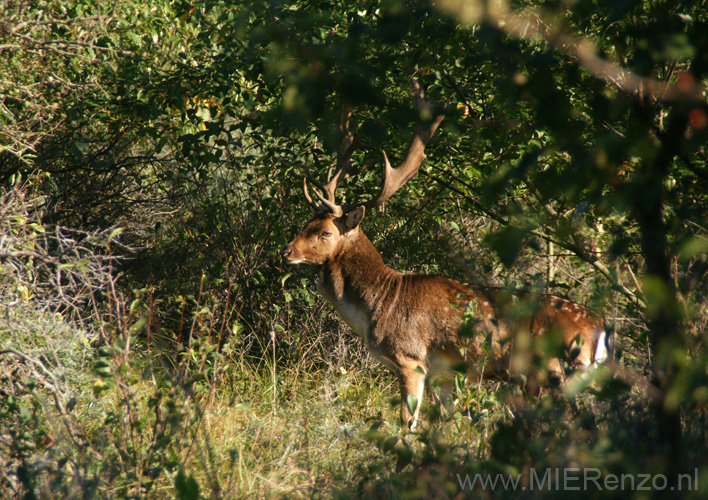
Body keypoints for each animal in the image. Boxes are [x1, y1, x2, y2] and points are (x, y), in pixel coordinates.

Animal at [282, 82, 608, 430]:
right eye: (306, 223)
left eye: (325, 233)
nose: (287, 251)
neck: (377, 304)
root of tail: (601, 327)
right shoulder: (444, 376)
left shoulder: (411, 360)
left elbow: (407, 424)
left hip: (555, 372)